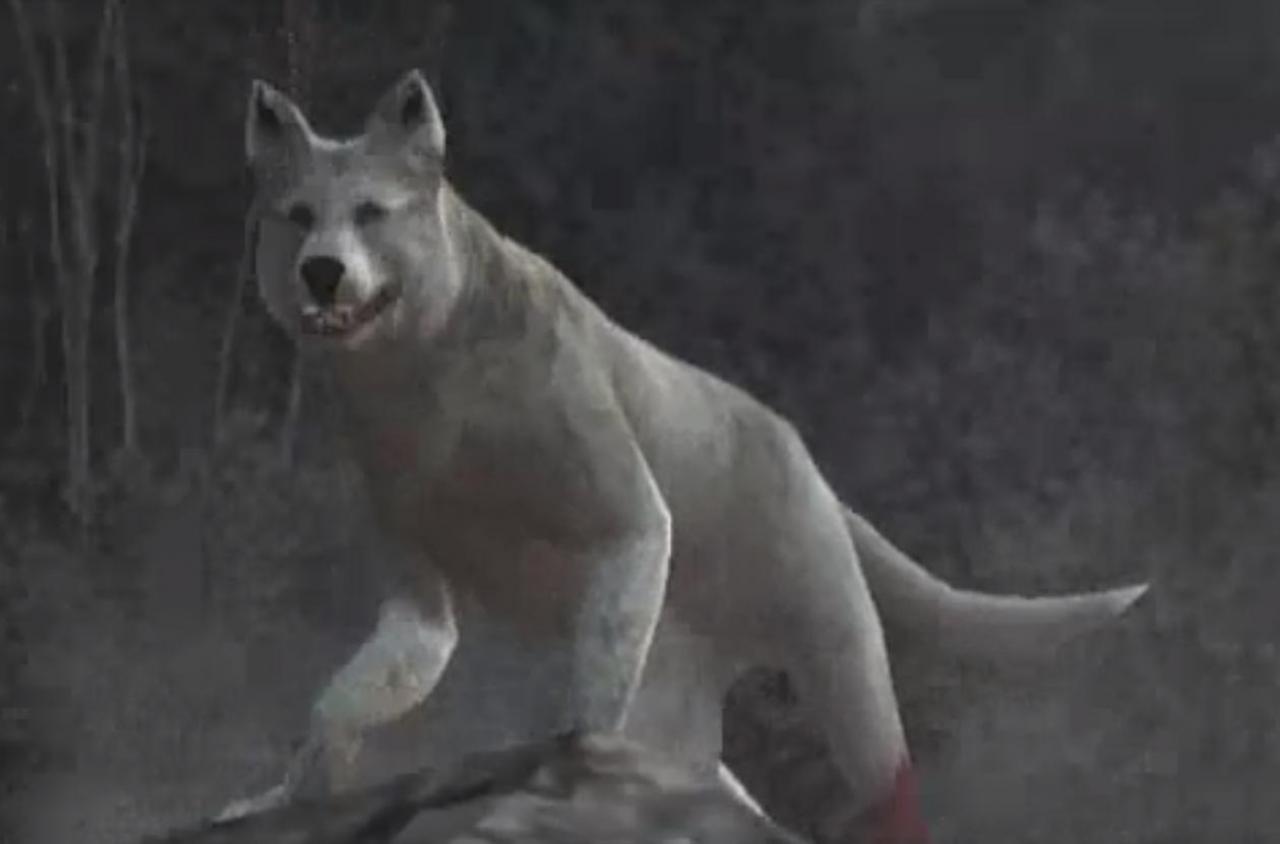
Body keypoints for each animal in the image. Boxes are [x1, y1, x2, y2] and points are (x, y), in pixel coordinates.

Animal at [219, 69, 1148, 842]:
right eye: (298, 215)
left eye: (371, 213)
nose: (322, 271)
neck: (423, 381)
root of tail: (811, 464)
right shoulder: (422, 600)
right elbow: (339, 705)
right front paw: (288, 794)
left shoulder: (629, 519)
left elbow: (584, 704)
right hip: (687, 708)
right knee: (734, 799)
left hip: (842, 662)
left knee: (890, 792)